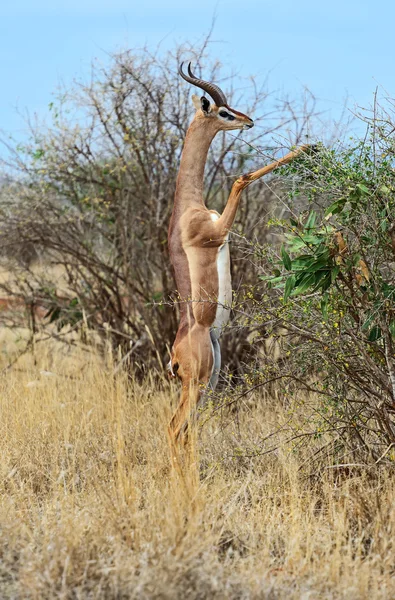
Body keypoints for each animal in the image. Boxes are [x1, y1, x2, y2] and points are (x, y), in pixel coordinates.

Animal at [169, 63, 308, 442]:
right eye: (223, 112)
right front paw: (305, 147)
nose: (249, 120)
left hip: (211, 378)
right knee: (173, 428)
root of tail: (174, 356)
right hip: (198, 382)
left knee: (186, 431)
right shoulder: (216, 233)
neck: (188, 209)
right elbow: (241, 178)